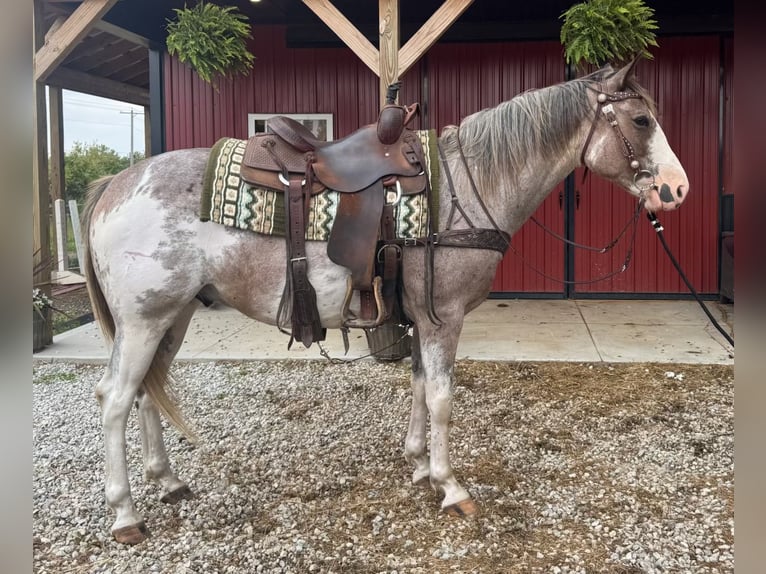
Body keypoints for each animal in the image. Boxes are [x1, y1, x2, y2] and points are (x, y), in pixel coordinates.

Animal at [81, 59, 688, 544]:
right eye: (641, 121)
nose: (677, 190)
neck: (467, 188)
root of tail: (115, 184)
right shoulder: (444, 318)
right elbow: (442, 397)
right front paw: (450, 485)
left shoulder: (421, 317)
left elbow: (419, 385)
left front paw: (418, 462)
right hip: (145, 319)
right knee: (115, 397)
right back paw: (125, 515)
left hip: (174, 315)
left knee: (148, 389)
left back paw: (168, 481)